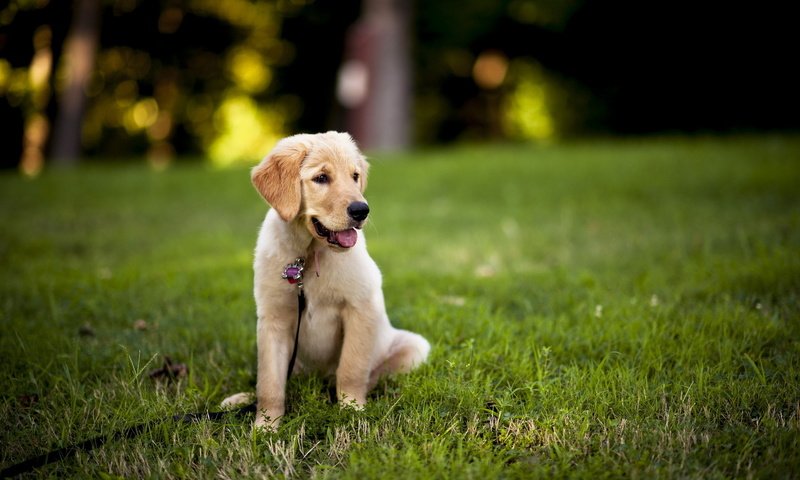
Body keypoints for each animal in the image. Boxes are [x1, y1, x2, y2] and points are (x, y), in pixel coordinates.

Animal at [222, 132, 434, 432]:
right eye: (321, 178)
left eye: (355, 176)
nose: (362, 210)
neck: (308, 256)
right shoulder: (273, 320)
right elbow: (270, 382)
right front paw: (265, 427)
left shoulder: (361, 306)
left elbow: (351, 368)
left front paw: (352, 409)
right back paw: (240, 399)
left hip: (414, 347)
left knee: (373, 375)